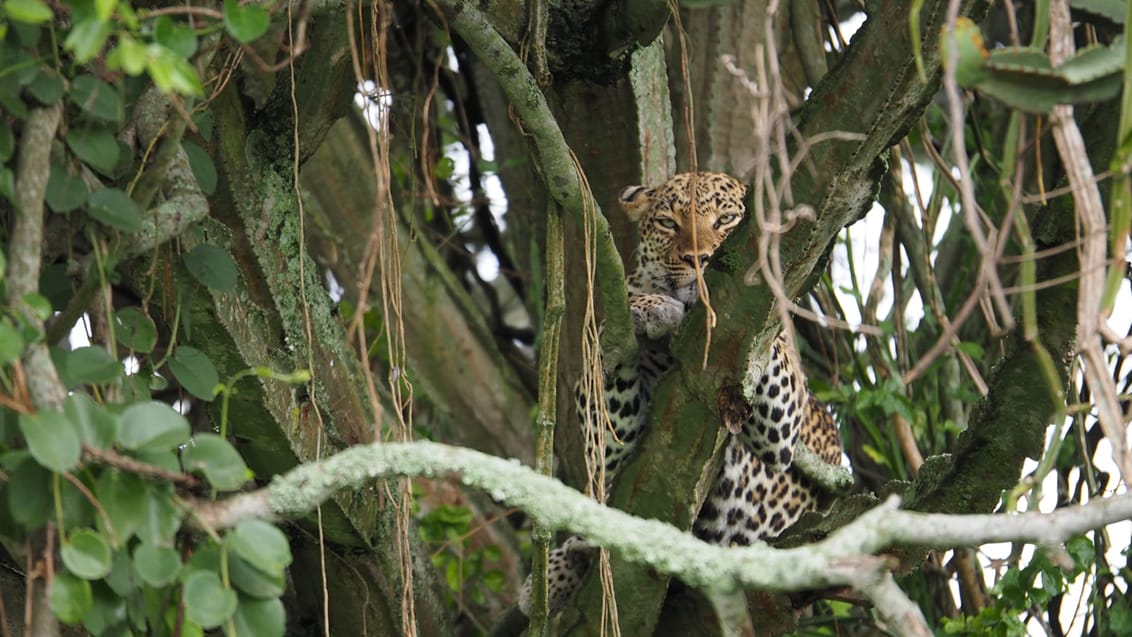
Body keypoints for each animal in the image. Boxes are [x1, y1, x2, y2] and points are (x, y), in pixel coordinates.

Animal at [518, 173, 842, 620]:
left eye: (726, 220)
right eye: (669, 224)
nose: (698, 259)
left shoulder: (780, 426)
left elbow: (768, 347)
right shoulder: (606, 436)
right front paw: (647, 306)